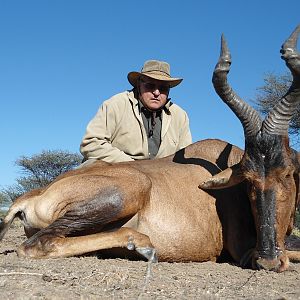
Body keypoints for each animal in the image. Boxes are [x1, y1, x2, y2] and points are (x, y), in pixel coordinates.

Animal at [0, 27, 300, 274]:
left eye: (287, 172)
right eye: (248, 180)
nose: (269, 260)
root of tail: (31, 196)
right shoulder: (243, 249)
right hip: (130, 189)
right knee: (39, 244)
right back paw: (141, 243)